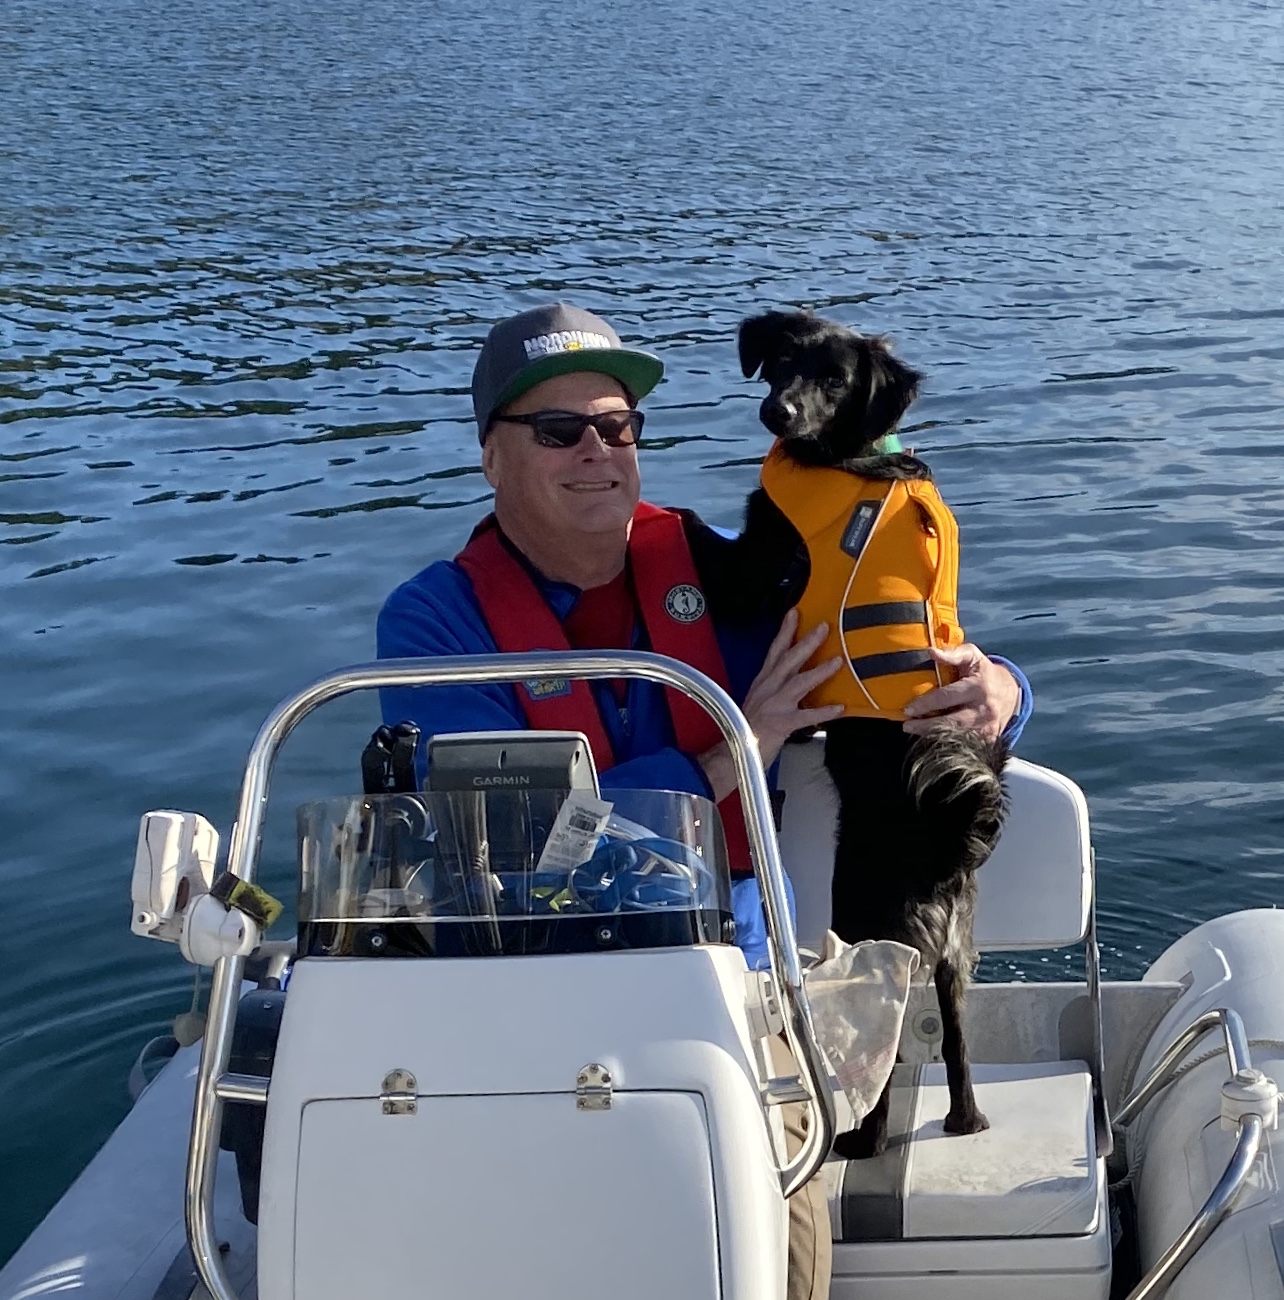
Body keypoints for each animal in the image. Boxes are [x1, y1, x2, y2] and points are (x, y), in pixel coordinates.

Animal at [695, 309, 1008, 1157]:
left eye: (835, 382)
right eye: (782, 365)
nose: (778, 413)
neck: (848, 456)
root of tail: (944, 838)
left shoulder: (758, 564)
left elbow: (718, 553)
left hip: (877, 933)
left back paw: (860, 1141)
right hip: (956, 955)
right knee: (959, 1044)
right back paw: (966, 1121)